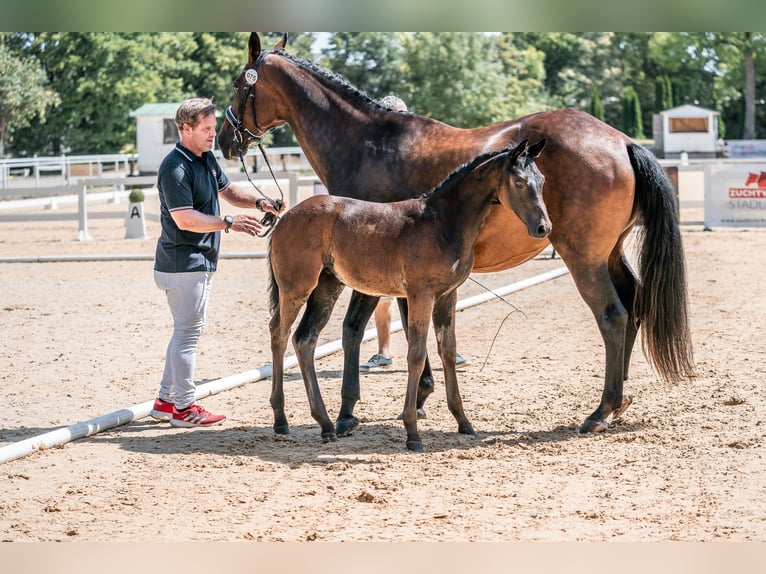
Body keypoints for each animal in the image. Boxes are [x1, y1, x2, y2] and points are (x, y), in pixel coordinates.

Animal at [270, 141, 552, 454]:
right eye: (519, 182)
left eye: (542, 180)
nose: (543, 228)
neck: (442, 223)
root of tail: (285, 216)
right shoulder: (421, 294)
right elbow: (416, 354)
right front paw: (412, 432)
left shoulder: (447, 296)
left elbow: (448, 350)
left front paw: (463, 422)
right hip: (296, 287)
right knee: (280, 334)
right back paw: (281, 420)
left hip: (327, 287)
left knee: (304, 339)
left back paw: (326, 425)